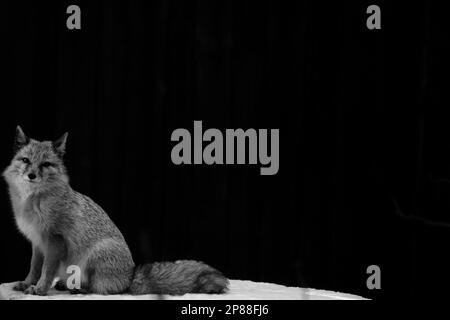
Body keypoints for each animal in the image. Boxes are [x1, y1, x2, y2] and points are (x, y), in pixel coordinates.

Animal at [2, 126, 229, 296]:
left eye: (45, 164)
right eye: (26, 160)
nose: (31, 175)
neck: (33, 202)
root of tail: (129, 276)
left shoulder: (55, 240)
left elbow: (46, 270)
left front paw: (40, 289)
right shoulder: (37, 242)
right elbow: (34, 267)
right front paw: (27, 283)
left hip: (93, 255)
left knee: (101, 289)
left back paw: (77, 288)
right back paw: (67, 284)